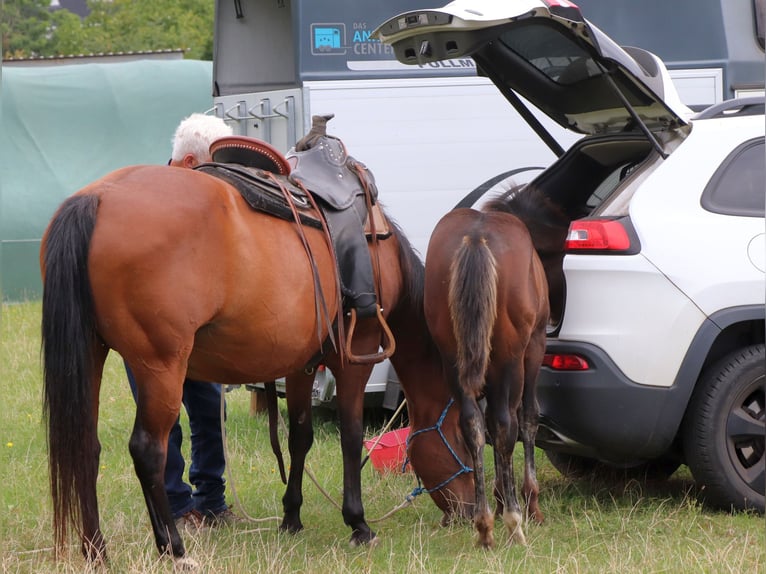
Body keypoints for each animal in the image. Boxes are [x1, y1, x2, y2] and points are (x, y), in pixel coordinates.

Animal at [40, 162, 475, 566]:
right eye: (461, 437)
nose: (471, 512)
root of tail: (96, 198)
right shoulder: (356, 358)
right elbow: (351, 438)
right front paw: (358, 523)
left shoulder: (301, 366)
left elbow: (300, 436)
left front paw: (292, 517)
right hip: (160, 366)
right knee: (149, 450)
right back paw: (173, 548)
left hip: (92, 354)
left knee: (87, 446)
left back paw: (96, 550)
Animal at [423, 184, 569, 548]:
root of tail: (476, 240)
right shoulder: (532, 350)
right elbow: (526, 419)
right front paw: (528, 503)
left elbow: (488, 426)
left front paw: (500, 498)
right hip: (509, 358)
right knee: (506, 423)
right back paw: (514, 523)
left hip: (454, 359)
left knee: (472, 424)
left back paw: (484, 525)